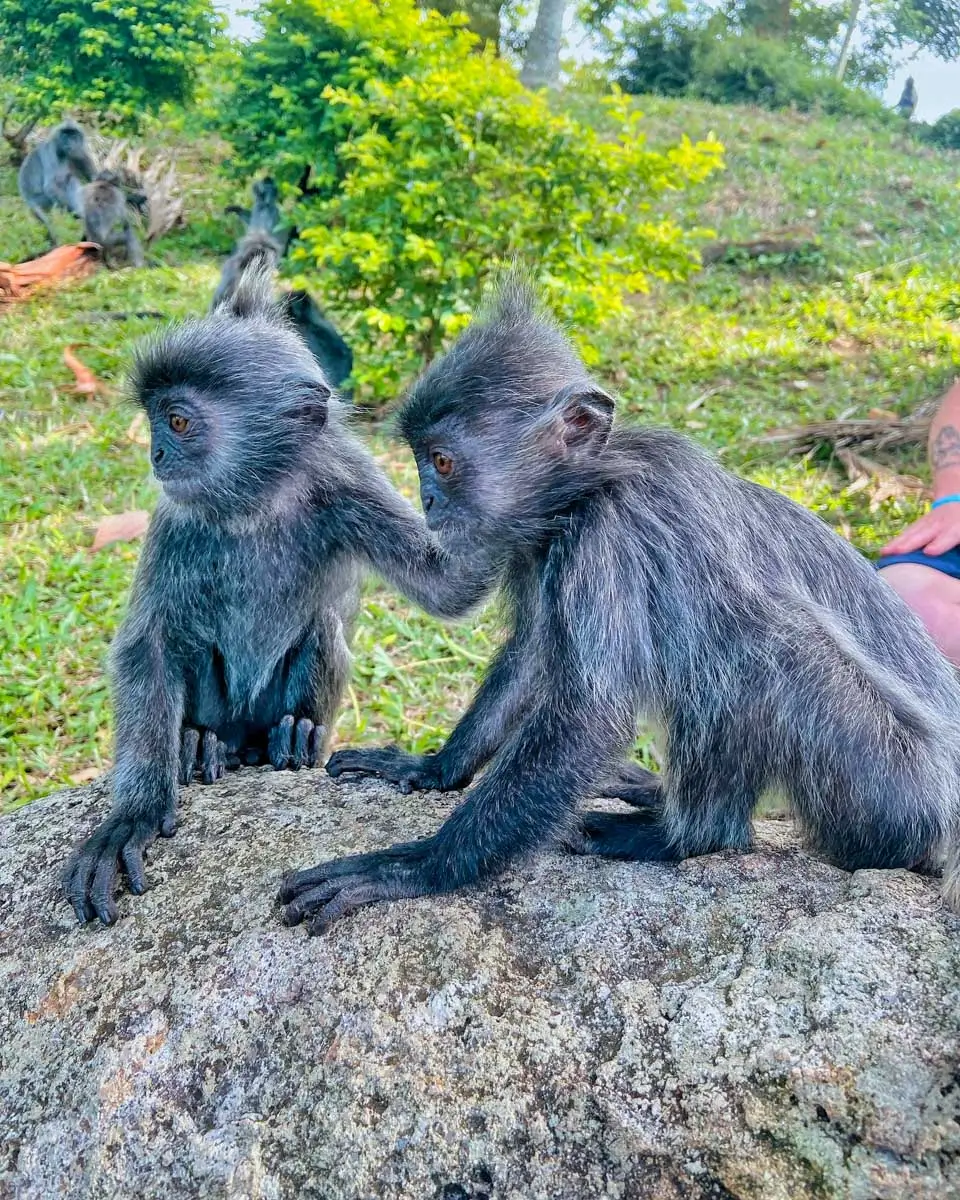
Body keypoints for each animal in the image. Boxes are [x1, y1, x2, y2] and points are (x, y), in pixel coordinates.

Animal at [64, 264, 502, 927]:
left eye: (179, 421)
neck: (259, 500)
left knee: (322, 627)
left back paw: (295, 736)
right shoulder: (176, 519)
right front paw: (132, 815)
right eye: (158, 421)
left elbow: (447, 588)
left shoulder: (346, 484)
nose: (155, 453)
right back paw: (199, 742)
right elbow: (150, 644)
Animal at [279, 279, 960, 934]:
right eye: (423, 461)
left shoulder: (607, 531)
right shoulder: (538, 543)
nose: (426, 501)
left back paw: (686, 835)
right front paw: (434, 768)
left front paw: (416, 867)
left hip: (892, 793)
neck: (591, 485)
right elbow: (533, 657)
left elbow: (588, 717)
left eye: (441, 462)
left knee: (764, 642)